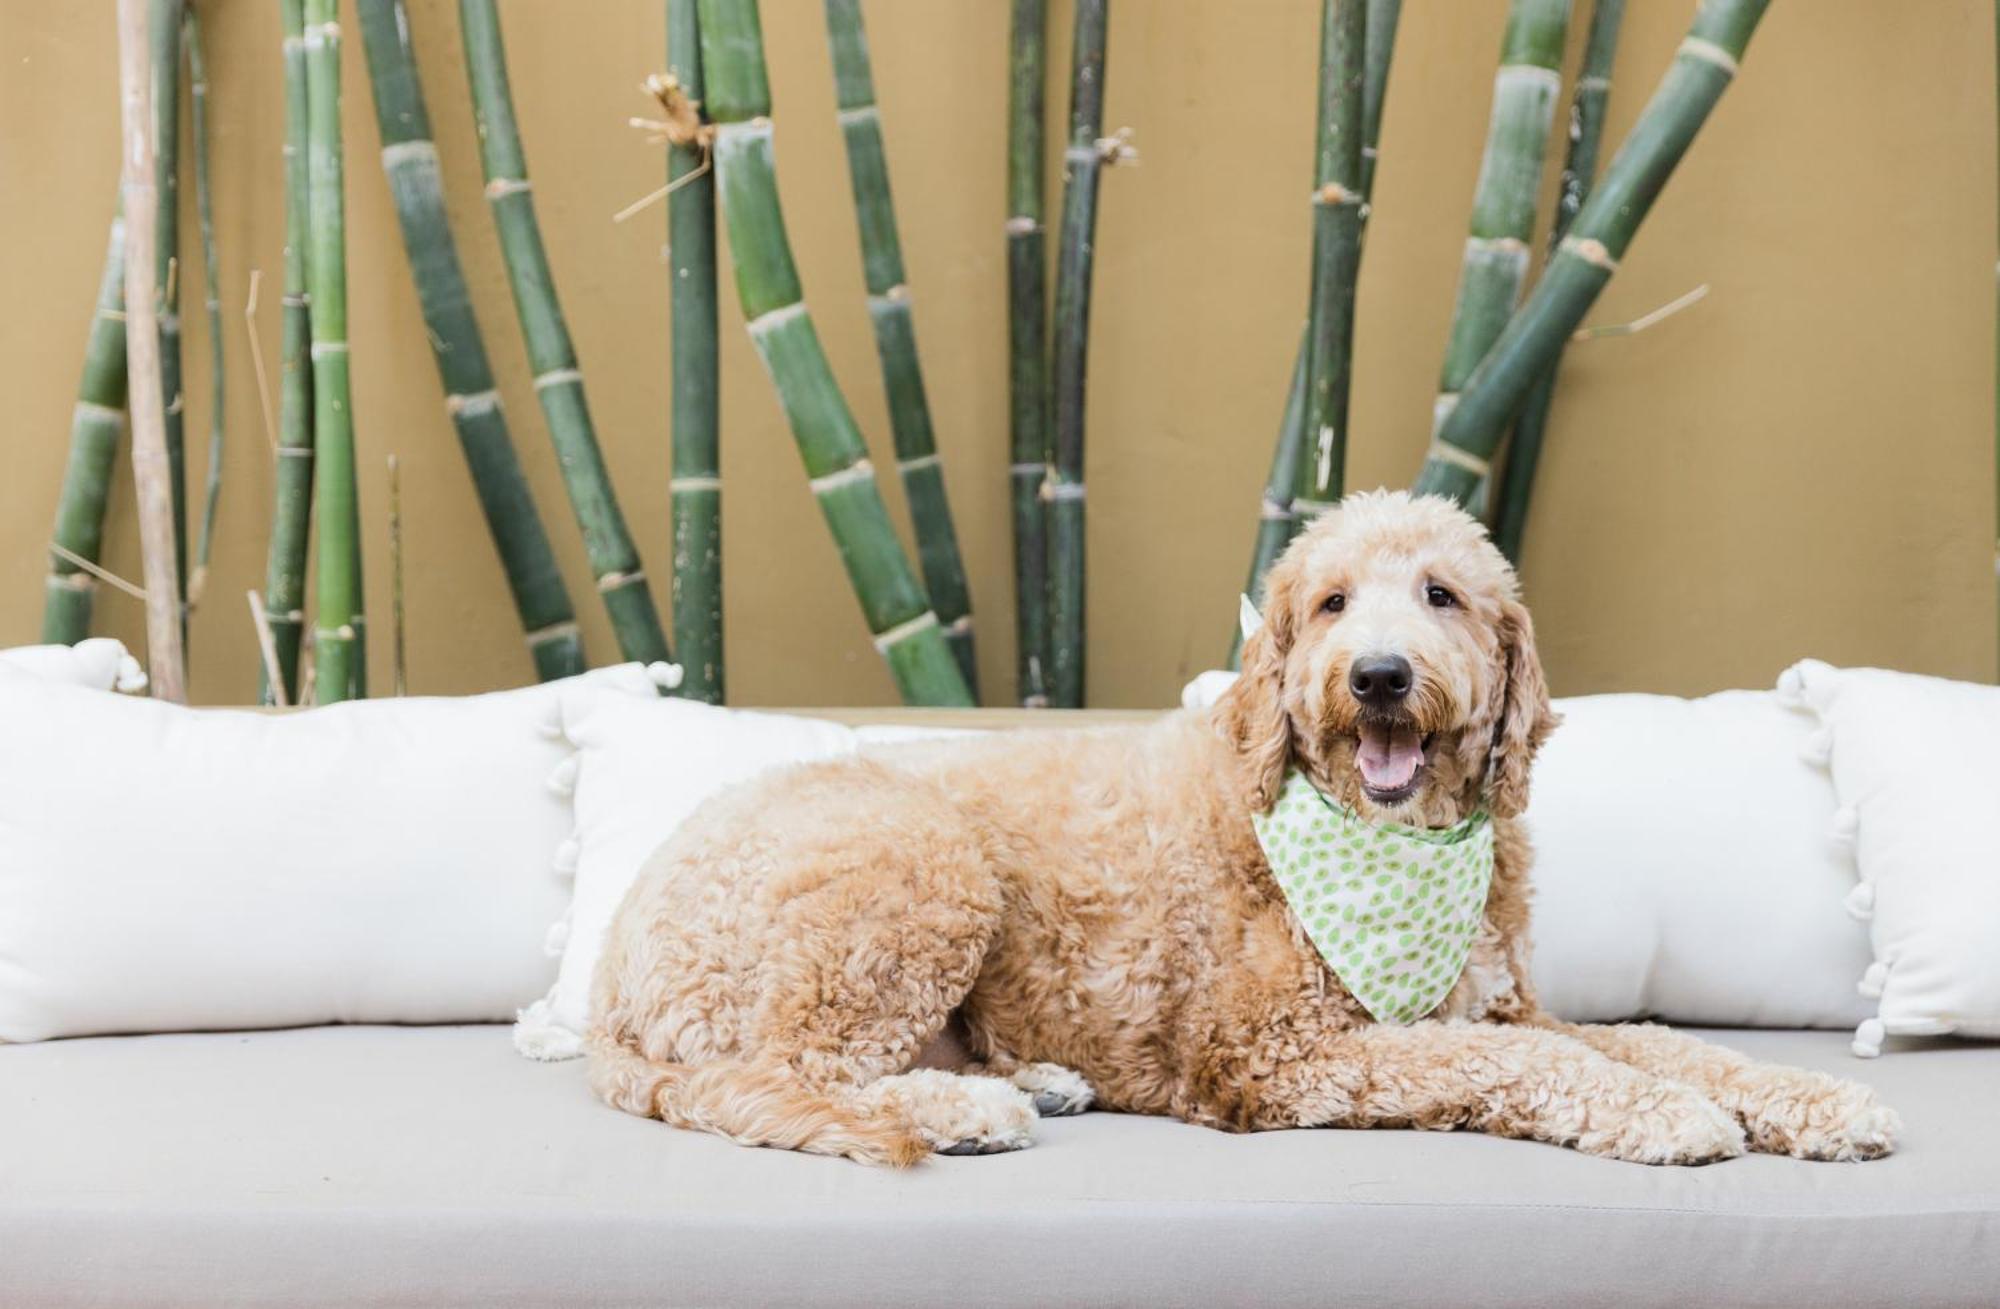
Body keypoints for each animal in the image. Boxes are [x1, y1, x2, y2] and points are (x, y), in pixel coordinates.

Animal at [584, 490, 1896, 1168]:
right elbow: (1539, 1063)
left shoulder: (1500, 1004)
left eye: (1440, 595)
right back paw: (969, 1114)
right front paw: (1669, 1117)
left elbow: (1655, 1039)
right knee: (782, 1070)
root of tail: (605, 971)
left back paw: (1033, 1081)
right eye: (1327, 603)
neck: (1377, 833)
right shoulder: (1275, 1054)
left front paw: (1814, 1101)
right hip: (912, 868)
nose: (1375, 676)